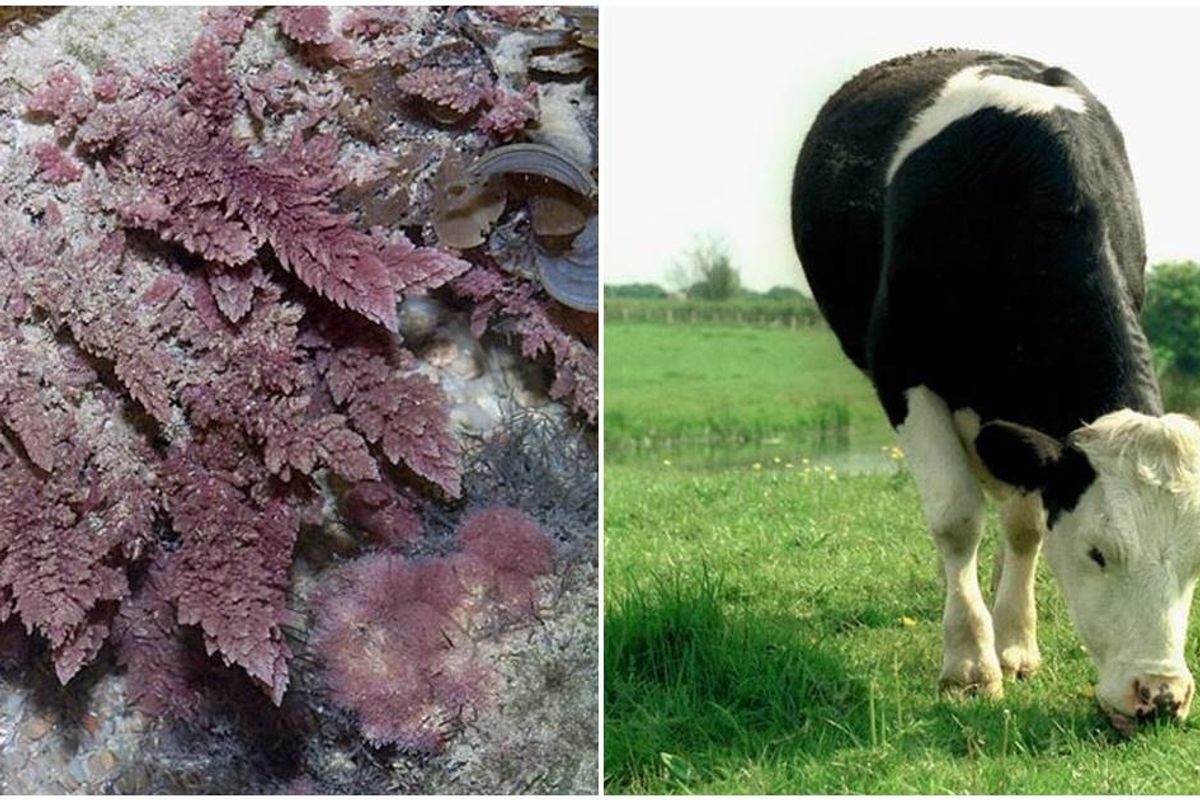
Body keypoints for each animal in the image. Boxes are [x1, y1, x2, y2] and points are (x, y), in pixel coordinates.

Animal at [791, 48, 1200, 730]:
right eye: (1097, 553)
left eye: (1197, 559)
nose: (1160, 696)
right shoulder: (902, 371)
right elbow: (956, 516)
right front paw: (969, 664)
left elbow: (1026, 525)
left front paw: (1015, 644)